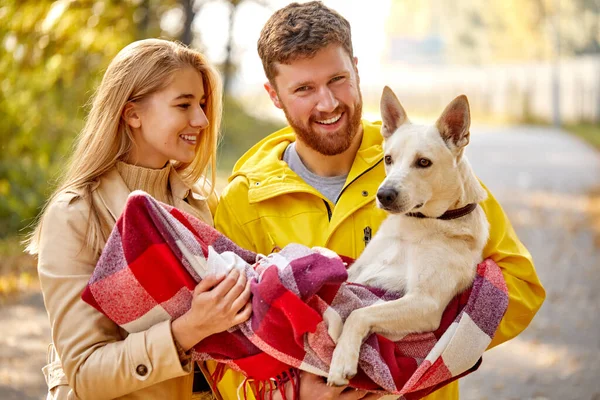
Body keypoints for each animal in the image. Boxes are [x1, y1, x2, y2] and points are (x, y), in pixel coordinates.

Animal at [326, 86, 490, 386]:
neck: (417, 224)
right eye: (388, 159)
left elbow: (358, 312)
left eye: (423, 162)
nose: (384, 195)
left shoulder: (425, 302)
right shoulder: (356, 273)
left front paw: (342, 359)